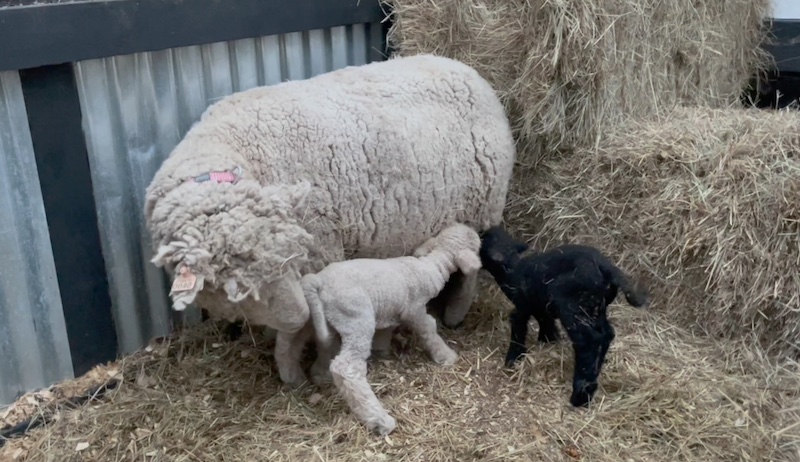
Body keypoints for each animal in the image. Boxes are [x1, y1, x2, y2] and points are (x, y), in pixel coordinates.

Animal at [143, 54, 517, 386]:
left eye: (292, 256)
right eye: (238, 288)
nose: (297, 315)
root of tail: (464, 67)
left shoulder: (318, 258)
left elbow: (301, 333)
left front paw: (298, 367)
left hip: (483, 207)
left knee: (471, 270)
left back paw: (455, 315)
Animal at [292, 223, 482, 436]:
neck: (431, 265)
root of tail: (318, 282)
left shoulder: (393, 309)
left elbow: (386, 330)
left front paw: (382, 350)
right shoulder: (414, 308)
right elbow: (428, 328)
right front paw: (445, 355)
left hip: (330, 319)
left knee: (325, 347)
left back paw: (320, 374)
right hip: (357, 318)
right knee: (346, 367)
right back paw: (378, 419)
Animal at [478, 225, 650, 407]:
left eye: (482, 243)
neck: (513, 268)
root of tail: (606, 267)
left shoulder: (522, 305)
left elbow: (518, 326)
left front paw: (512, 359)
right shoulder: (539, 303)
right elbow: (545, 321)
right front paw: (549, 340)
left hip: (572, 306)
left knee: (588, 340)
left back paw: (581, 394)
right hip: (595, 307)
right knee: (606, 334)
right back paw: (595, 372)